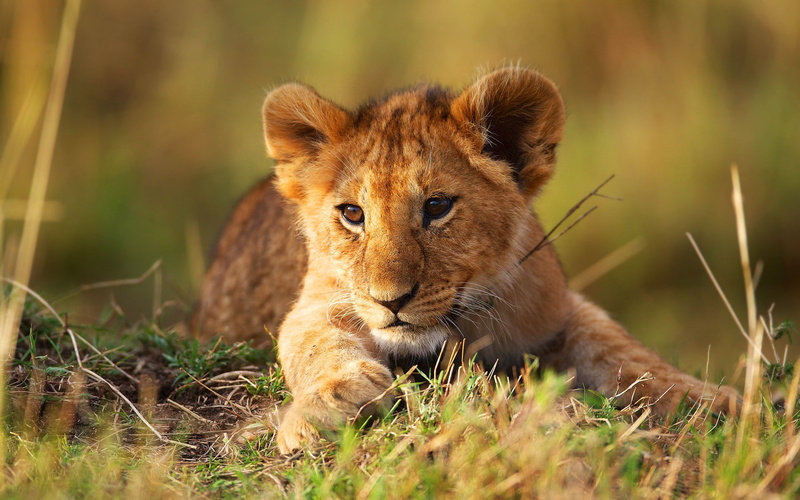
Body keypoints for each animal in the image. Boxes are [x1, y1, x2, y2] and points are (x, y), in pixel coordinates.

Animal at [192, 67, 739, 453]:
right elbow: (315, 343)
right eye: (352, 214)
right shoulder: (320, 299)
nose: (391, 301)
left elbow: (625, 351)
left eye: (437, 207)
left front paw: (717, 400)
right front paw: (324, 406)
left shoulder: (558, 309)